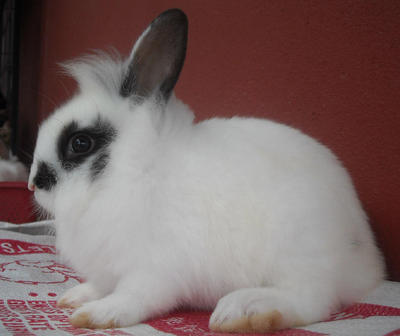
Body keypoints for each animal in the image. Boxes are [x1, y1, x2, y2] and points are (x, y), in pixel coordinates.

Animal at [28, 7, 384, 334]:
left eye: (80, 143)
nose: (34, 183)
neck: (136, 171)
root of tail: (367, 260)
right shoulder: (110, 268)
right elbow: (102, 285)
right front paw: (75, 296)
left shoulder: (154, 270)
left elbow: (134, 297)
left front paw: (96, 315)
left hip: (300, 252)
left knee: (310, 301)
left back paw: (245, 310)